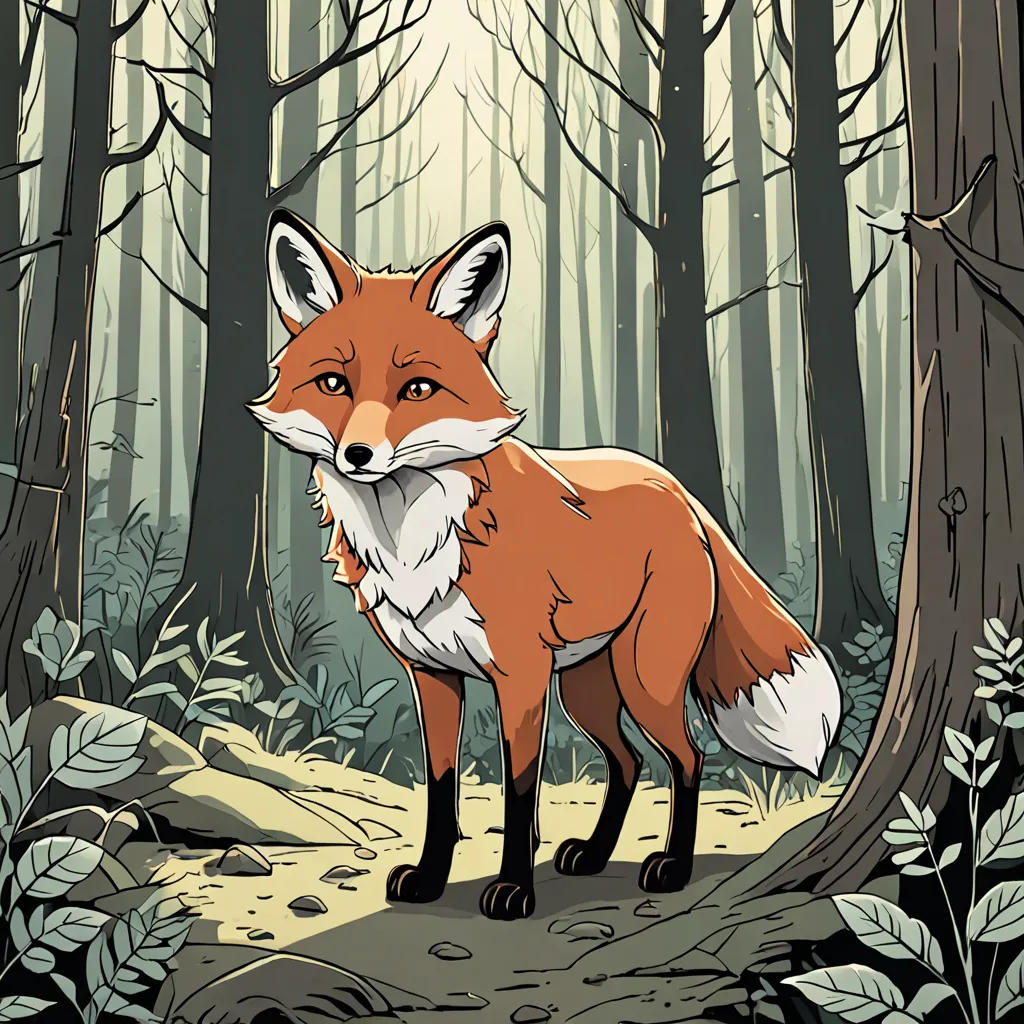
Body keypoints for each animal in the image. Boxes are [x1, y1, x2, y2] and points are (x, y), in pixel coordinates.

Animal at [250, 208, 842, 921]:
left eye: (417, 389)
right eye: (334, 384)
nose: (358, 455)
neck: (414, 538)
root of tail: (679, 490)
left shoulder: (520, 677)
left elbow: (518, 791)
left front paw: (512, 890)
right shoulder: (432, 678)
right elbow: (442, 791)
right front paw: (430, 877)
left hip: (642, 680)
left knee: (688, 757)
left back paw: (672, 866)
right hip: (586, 688)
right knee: (627, 763)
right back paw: (591, 854)